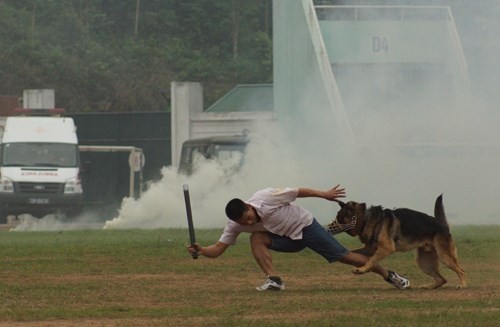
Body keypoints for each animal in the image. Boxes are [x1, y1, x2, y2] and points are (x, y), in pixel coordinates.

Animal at [328, 195, 464, 290]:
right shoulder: (369, 249)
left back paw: (462, 285)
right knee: (442, 279)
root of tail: (443, 226)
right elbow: (354, 252)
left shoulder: (386, 248)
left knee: (461, 270)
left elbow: (372, 259)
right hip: (424, 263)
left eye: (340, 217)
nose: (328, 228)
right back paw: (428, 287)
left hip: (444, 257)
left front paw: (362, 269)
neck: (366, 218)